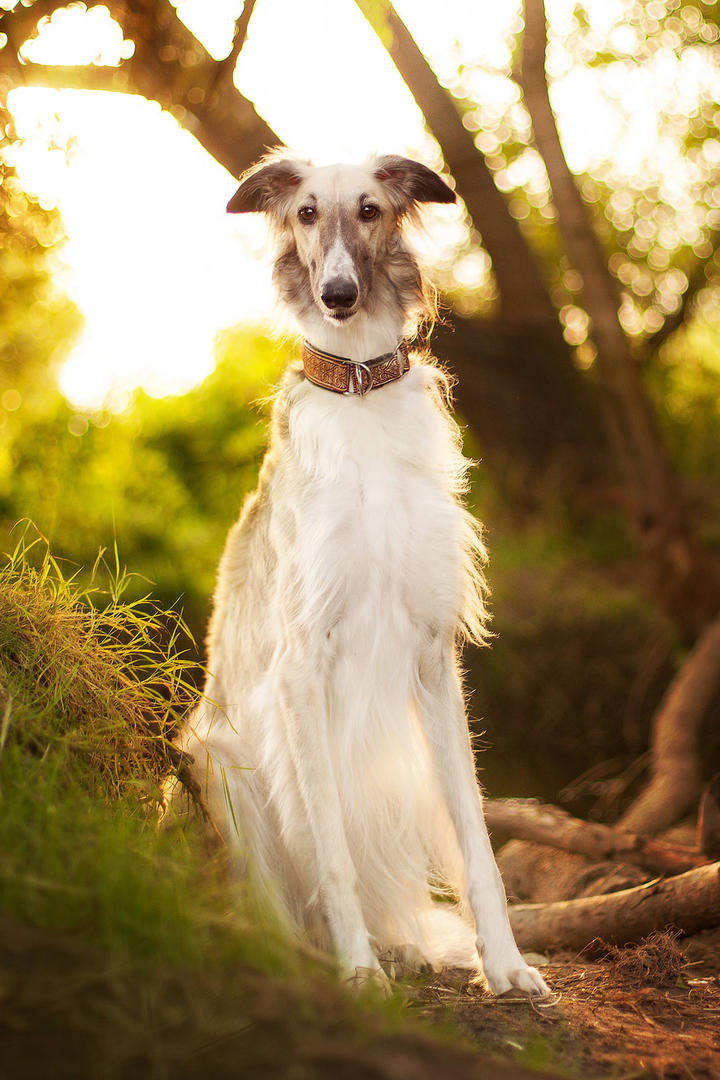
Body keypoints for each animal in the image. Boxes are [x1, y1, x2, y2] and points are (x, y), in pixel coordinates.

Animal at [167, 150, 552, 993]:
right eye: (307, 212)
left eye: (371, 209)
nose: (337, 296)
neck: (358, 396)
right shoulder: (301, 664)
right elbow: (332, 852)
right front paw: (357, 971)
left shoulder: (433, 655)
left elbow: (477, 841)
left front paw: (506, 966)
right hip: (214, 762)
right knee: (270, 904)